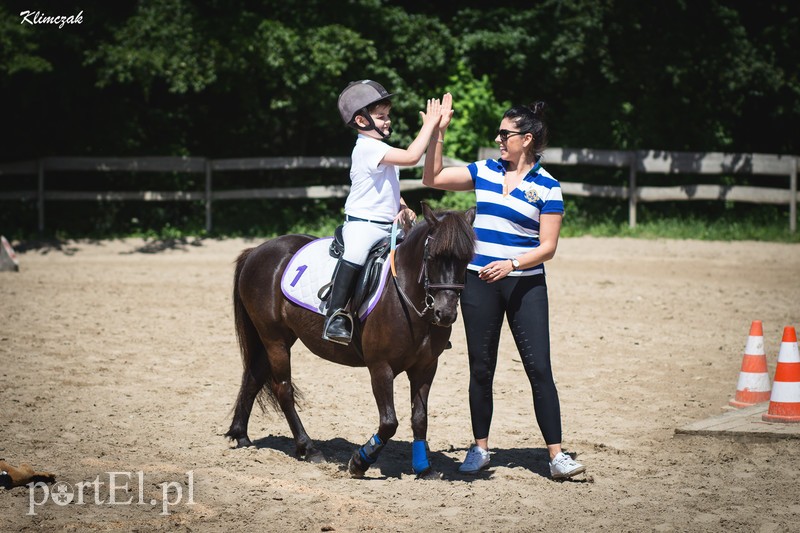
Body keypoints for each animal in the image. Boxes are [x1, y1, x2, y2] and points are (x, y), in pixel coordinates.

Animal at [225, 203, 476, 478]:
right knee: (283, 390)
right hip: (275, 339)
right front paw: (359, 462)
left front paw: (424, 467)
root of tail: (257, 250)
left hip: (276, 338)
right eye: (432, 257)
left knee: (253, 377)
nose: (446, 314)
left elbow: (419, 418)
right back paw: (309, 448)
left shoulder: (426, 367)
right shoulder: (380, 367)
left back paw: (242, 437)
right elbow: (389, 422)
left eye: (467, 259)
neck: (405, 295)